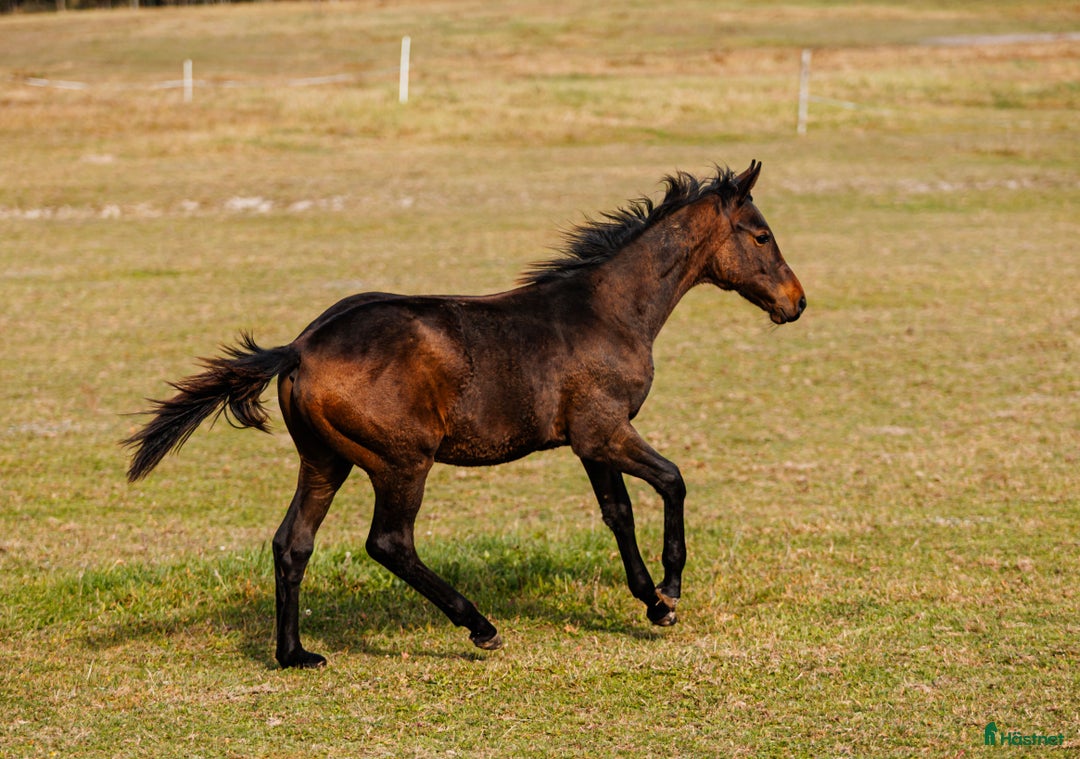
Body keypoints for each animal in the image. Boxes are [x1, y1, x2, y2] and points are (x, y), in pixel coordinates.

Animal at [124, 161, 805, 668]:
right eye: (762, 234)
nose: (796, 303)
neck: (608, 311)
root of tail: (300, 347)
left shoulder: (589, 442)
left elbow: (618, 513)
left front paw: (651, 603)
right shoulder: (606, 432)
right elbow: (672, 481)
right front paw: (670, 592)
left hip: (324, 461)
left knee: (294, 542)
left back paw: (296, 654)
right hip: (401, 462)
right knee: (388, 542)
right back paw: (481, 627)